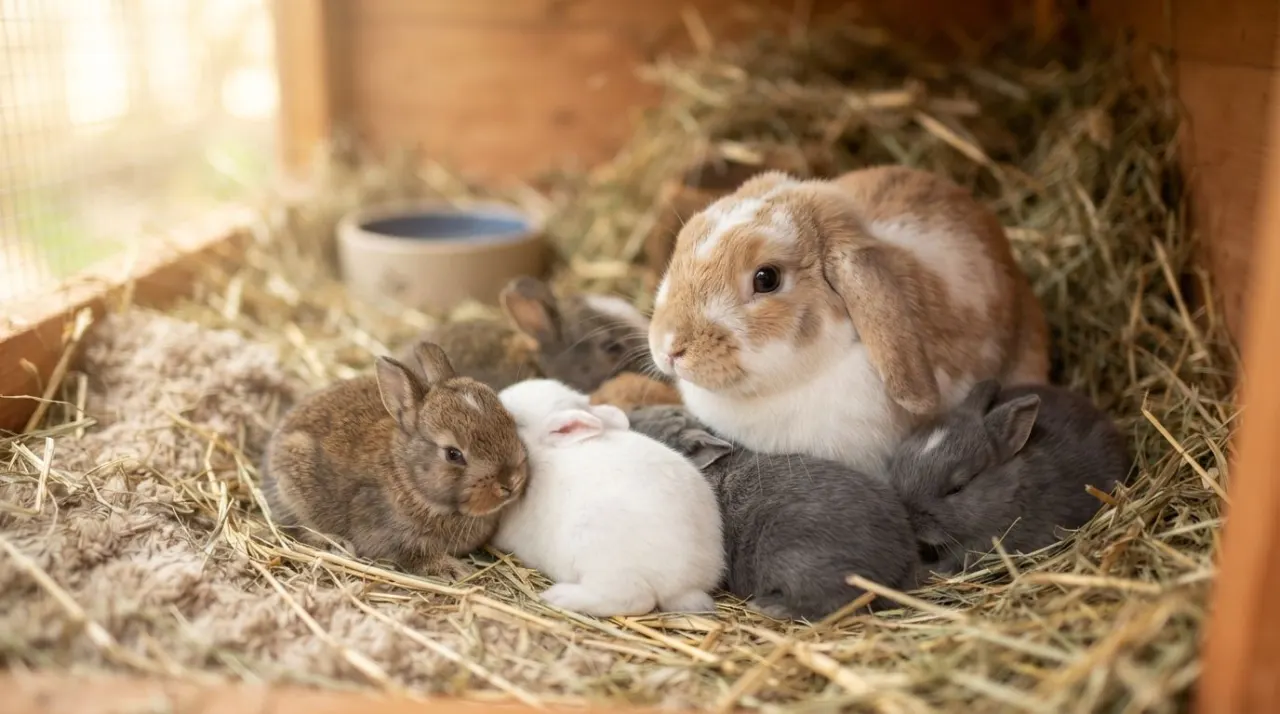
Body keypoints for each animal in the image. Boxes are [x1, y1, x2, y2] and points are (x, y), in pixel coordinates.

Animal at [260, 341, 530, 580]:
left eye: (510, 421)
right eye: (453, 454)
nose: (512, 482)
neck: (409, 478)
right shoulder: (389, 535)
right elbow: (414, 556)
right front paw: (454, 570)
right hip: (293, 489)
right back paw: (334, 545)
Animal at [492, 378, 724, 617]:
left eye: (517, 422)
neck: (543, 453)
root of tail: (686, 585)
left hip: (596, 550)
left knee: (635, 598)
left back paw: (558, 596)